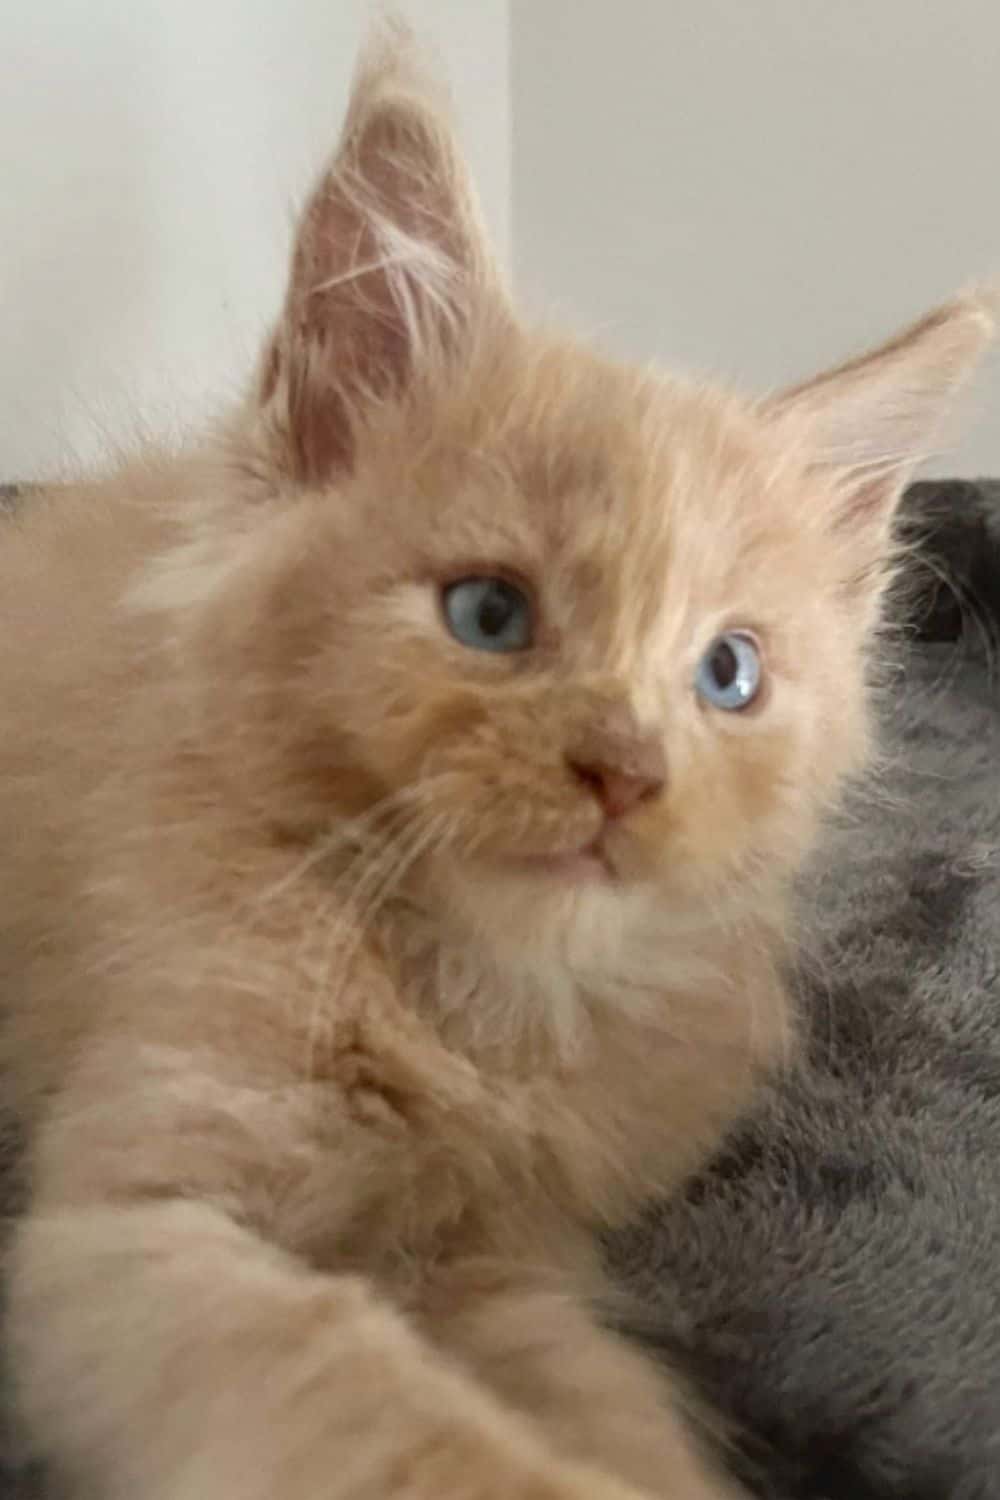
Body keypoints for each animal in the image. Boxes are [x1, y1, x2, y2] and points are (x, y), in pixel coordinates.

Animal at [0, 20, 995, 1500]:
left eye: (729, 673)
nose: (624, 771)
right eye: (488, 615)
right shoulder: (135, 1224)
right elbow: (384, 1411)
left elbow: (606, 1401)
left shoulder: (495, 1252)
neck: (473, 1003)